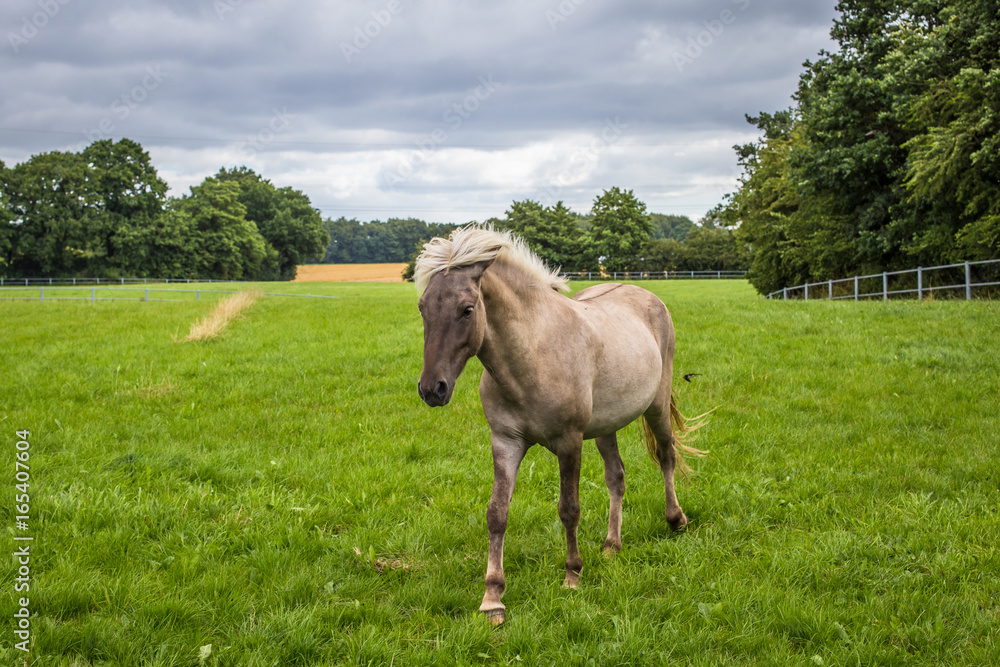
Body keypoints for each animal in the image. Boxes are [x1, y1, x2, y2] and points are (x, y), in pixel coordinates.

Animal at [414, 228, 704, 628]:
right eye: (423, 307)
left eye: (467, 309)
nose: (432, 389)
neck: (532, 355)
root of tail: (644, 293)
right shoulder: (505, 442)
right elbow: (496, 514)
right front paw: (493, 597)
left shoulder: (569, 443)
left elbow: (569, 508)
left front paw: (572, 575)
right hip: (606, 428)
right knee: (616, 477)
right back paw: (612, 546)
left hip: (656, 407)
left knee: (666, 456)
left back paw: (676, 520)